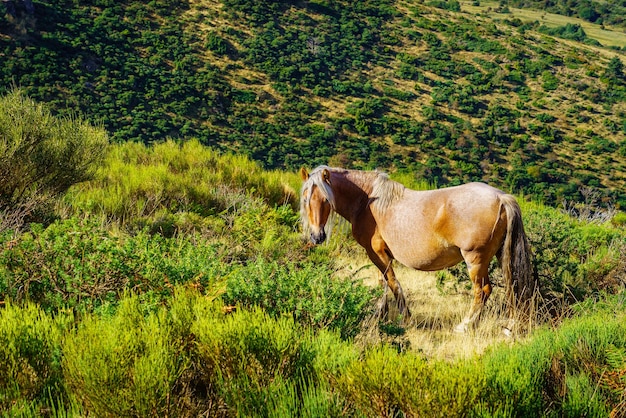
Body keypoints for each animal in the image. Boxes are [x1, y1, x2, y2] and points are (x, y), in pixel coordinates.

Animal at [300, 166, 532, 334]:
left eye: (325, 199)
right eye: (305, 199)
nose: (317, 236)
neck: (367, 202)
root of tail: (501, 198)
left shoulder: (378, 254)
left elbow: (393, 284)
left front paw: (405, 318)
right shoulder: (377, 255)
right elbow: (383, 284)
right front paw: (381, 315)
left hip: (475, 259)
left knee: (482, 291)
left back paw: (465, 326)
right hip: (500, 255)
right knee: (512, 288)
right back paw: (509, 327)